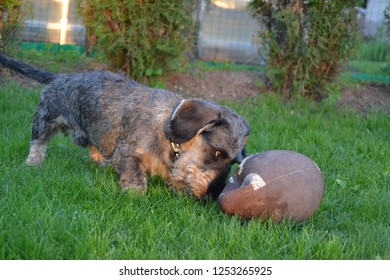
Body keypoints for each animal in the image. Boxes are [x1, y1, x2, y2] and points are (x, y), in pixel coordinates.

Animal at [0, 53, 250, 199]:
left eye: (234, 163)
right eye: (217, 153)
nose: (211, 196)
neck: (166, 127)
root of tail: (60, 79)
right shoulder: (129, 152)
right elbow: (134, 172)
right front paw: (135, 193)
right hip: (44, 119)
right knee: (38, 143)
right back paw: (33, 163)